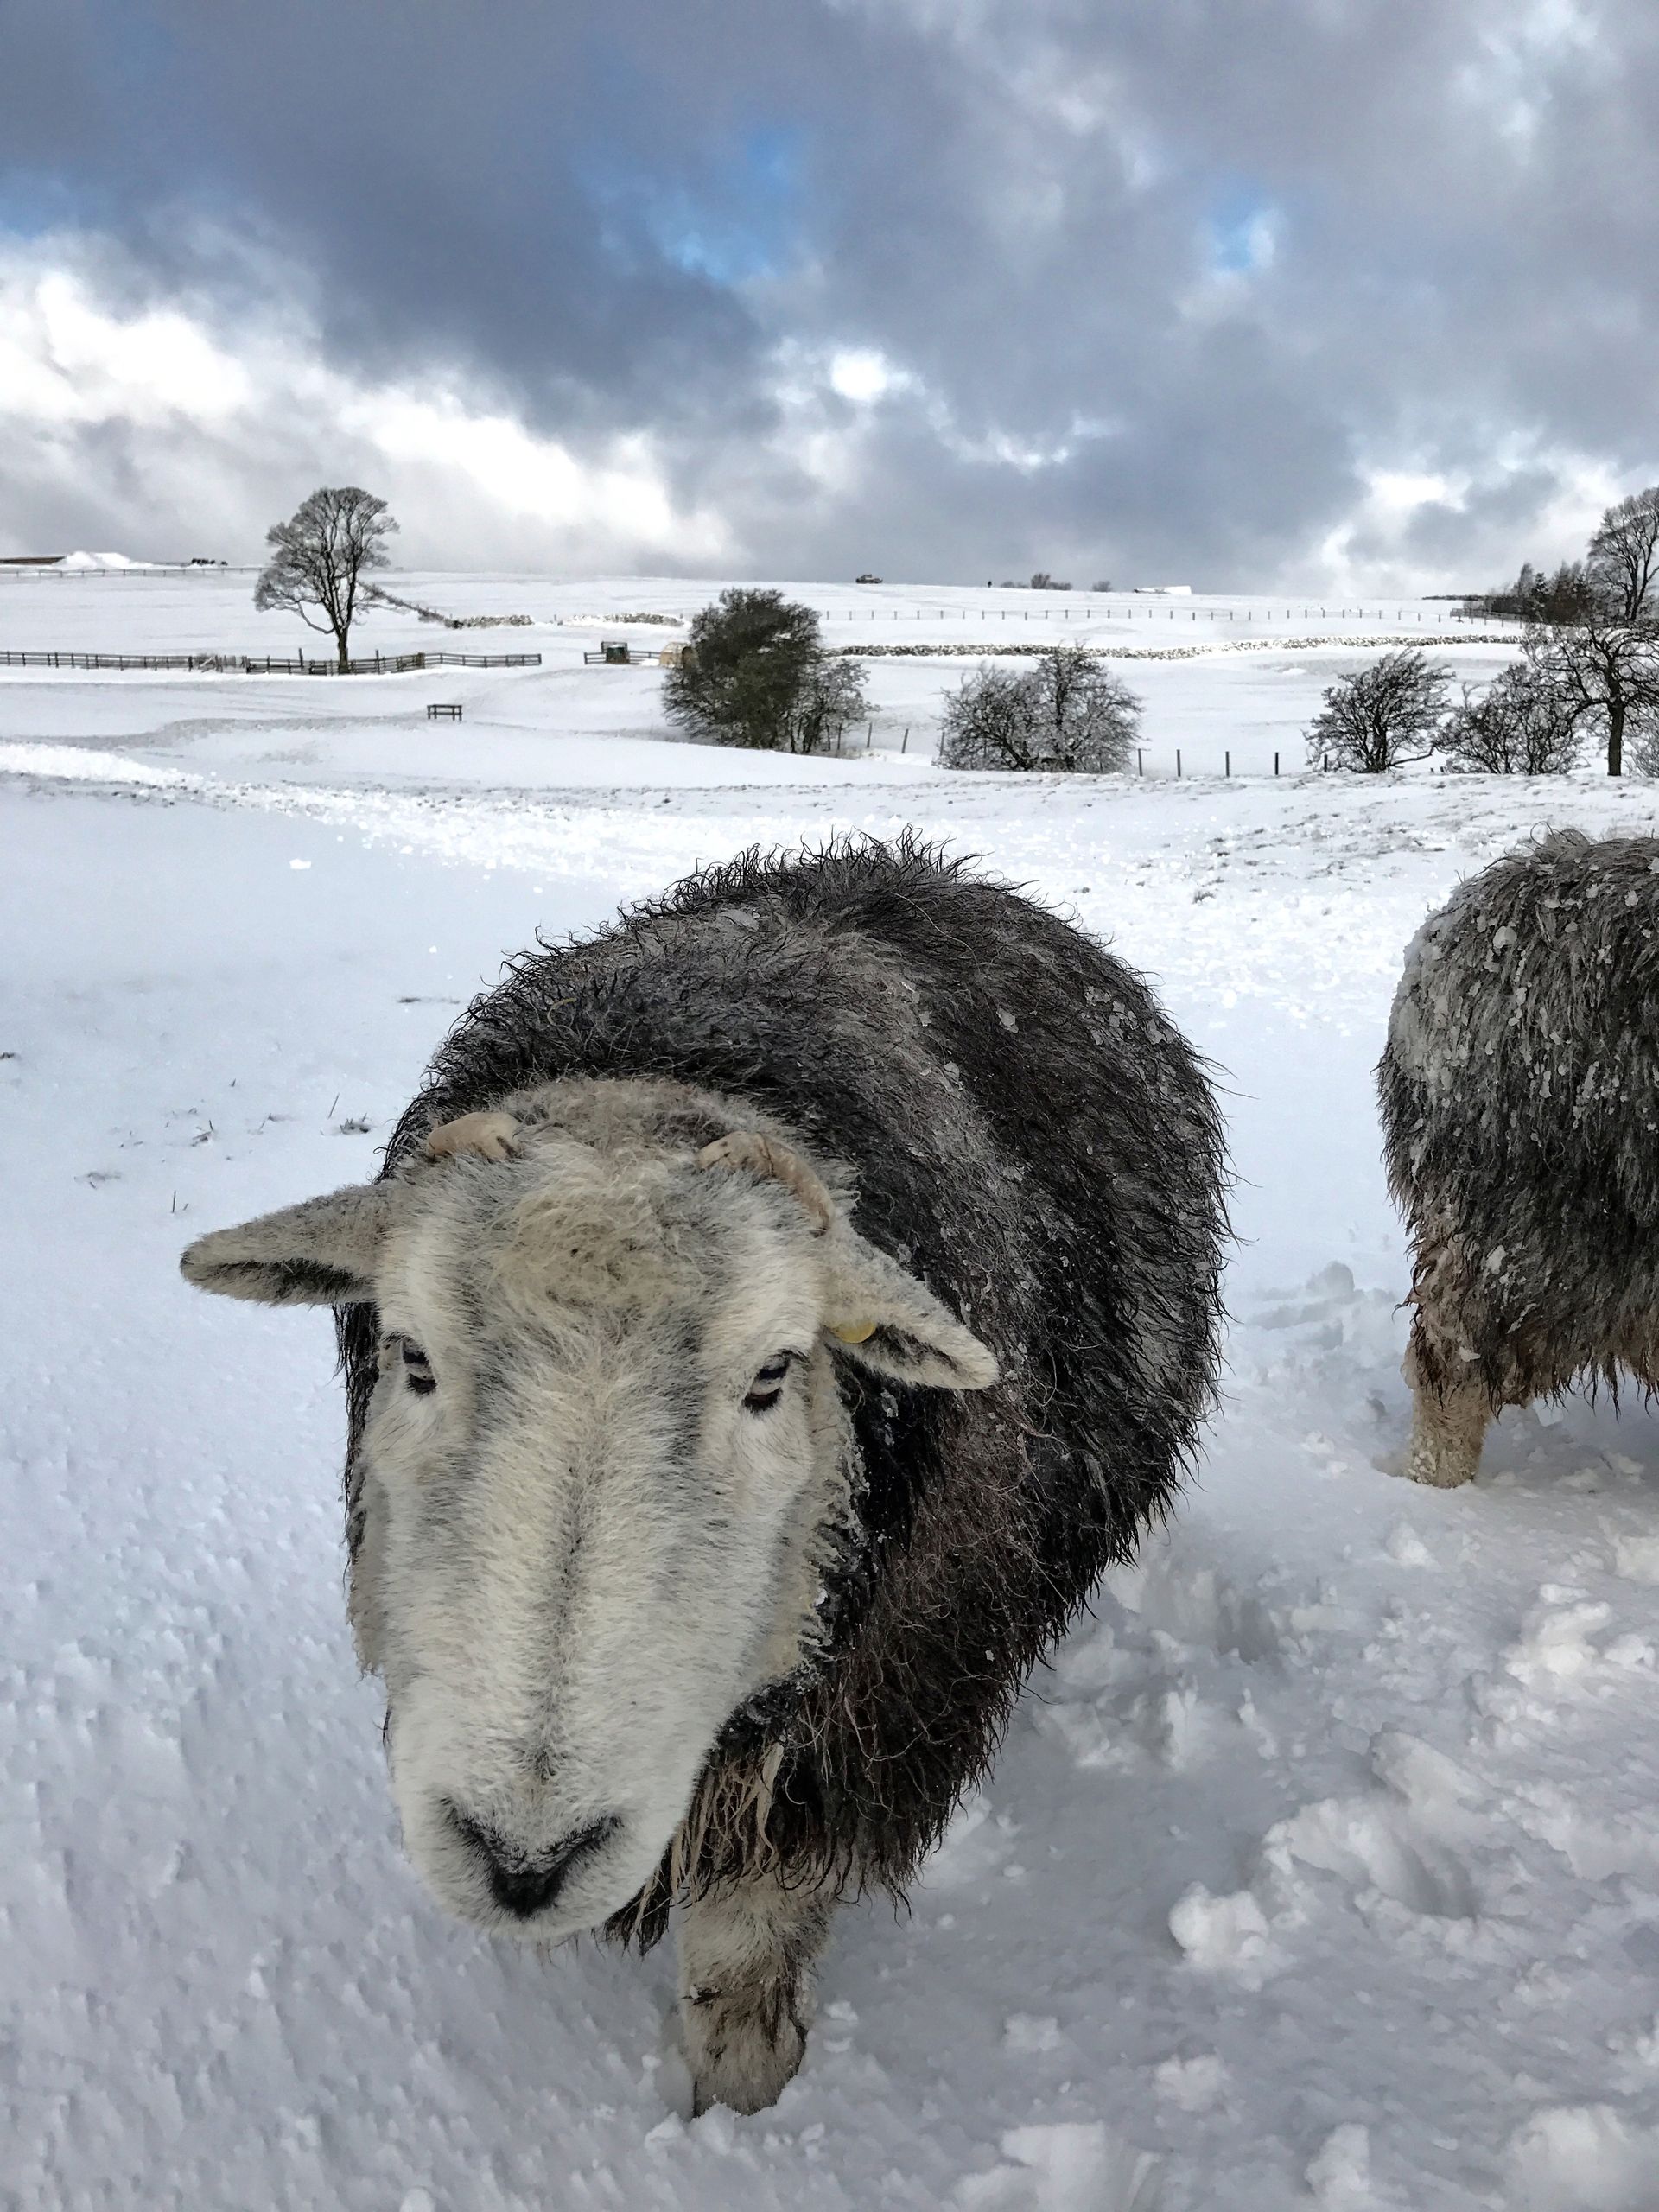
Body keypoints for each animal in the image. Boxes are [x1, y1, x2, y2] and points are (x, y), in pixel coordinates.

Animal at [181, 836, 1227, 2114]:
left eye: (772, 1374)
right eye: (412, 1356)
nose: (523, 1860)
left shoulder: (873, 1703)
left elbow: (754, 1918)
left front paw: (743, 2086)